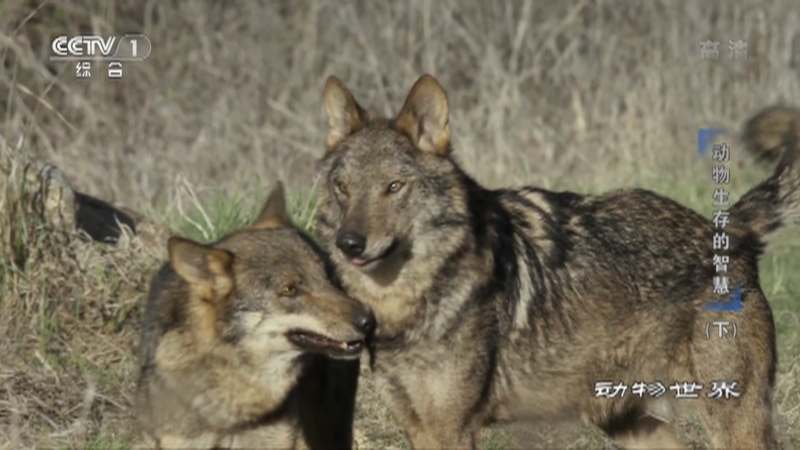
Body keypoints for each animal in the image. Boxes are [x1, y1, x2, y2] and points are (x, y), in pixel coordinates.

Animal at [314, 75, 800, 448]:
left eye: (394, 187)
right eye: (343, 187)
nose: (349, 243)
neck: (409, 305)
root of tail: (730, 230)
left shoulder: (452, 429)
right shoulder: (418, 427)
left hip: (730, 420)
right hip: (628, 421)